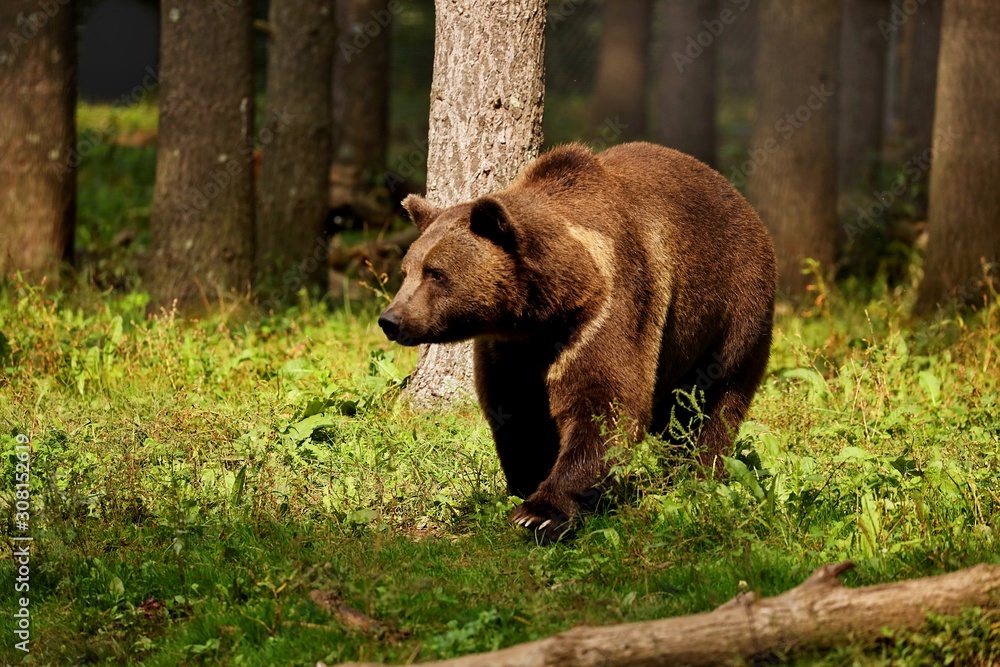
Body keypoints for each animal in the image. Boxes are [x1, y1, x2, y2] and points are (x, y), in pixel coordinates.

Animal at [378, 142, 776, 540]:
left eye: (436, 273)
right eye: (406, 270)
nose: (390, 320)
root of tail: (742, 201)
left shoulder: (606, 312)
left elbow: (604, 405)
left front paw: (540, 512)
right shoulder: (509, 350)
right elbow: (517, 410)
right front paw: (526, 482)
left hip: (734, 311)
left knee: (713, 405)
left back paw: (696, 476)